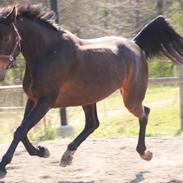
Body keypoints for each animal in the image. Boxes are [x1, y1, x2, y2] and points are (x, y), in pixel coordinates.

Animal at [0, 3, 183, 176]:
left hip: (130, 98)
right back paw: (67, 155)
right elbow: (22, 130)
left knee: (144, 113)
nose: (1, 73)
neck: (48, 53)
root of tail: (135, 45)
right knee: (93, 123)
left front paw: (3, 166)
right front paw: (42, 151)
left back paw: (144, 152)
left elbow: (20, 130)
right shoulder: (33, 99)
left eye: (6, 37)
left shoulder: (45, 102)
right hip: (89, 97)